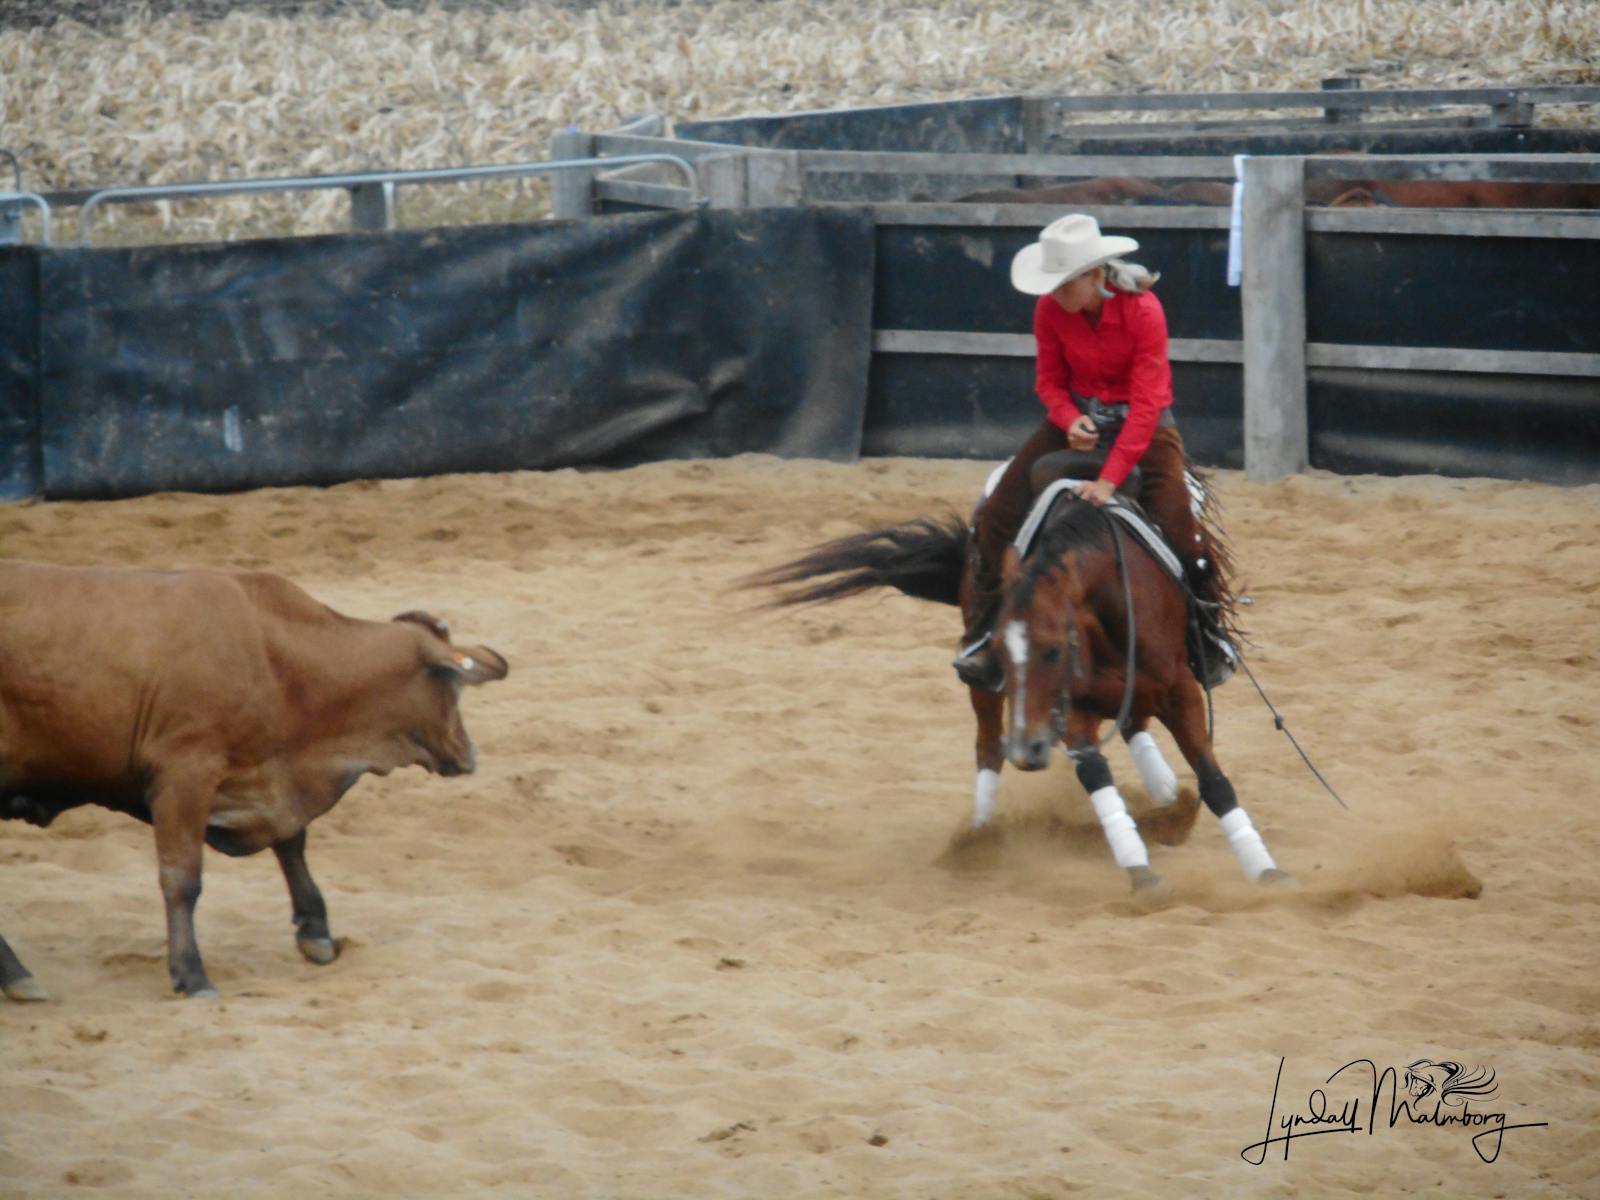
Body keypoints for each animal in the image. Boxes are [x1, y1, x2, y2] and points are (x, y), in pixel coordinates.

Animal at [0, 569, 505, 998]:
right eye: (453, 685)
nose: (469, 752)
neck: (273, 658)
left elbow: (291, 842)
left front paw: (316, 930)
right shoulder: (183, 774)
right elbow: (182, 878)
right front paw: (191, 972)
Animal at [742, 464, 1292, 896]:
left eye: (1052, 649)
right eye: (1005, 653)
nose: (1028, 751)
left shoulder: (1179, 691)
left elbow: (1215, 782)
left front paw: (1265, 870)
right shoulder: (1070, 707)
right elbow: (1095, 774)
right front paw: (1140, 870)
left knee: (1134, 724)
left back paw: (1165, 801)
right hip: (989, 691)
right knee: (989, 746)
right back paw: (981, 838)